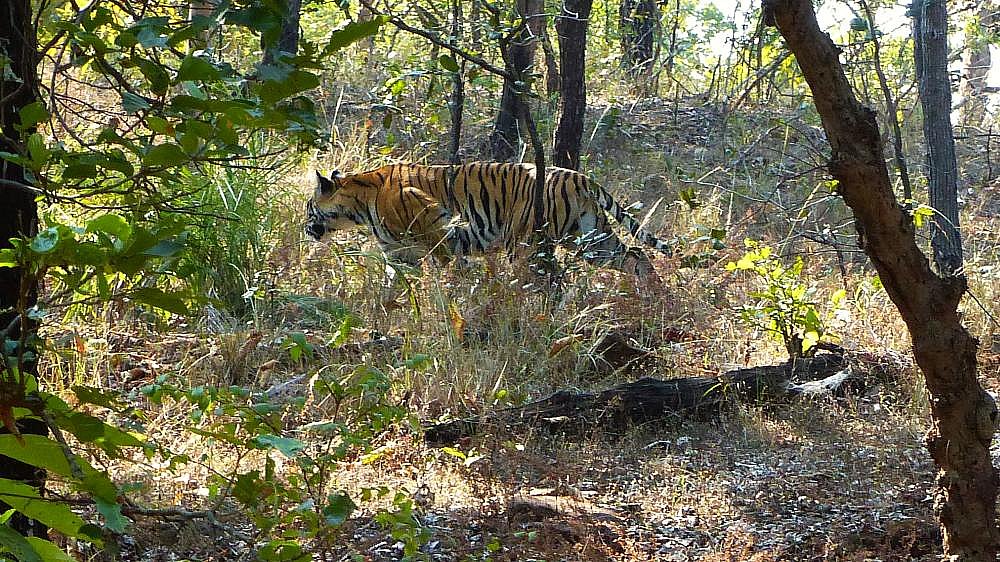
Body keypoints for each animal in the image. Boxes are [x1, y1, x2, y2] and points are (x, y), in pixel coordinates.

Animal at [304, 162, 672, 277]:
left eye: (309, 209)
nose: (305, 229)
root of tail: (579, 177)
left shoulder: (438, 241)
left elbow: (450, 277)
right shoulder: (399, 256)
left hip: (525, 242)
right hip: (590, 238)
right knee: (636, 255)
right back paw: (655, 296)